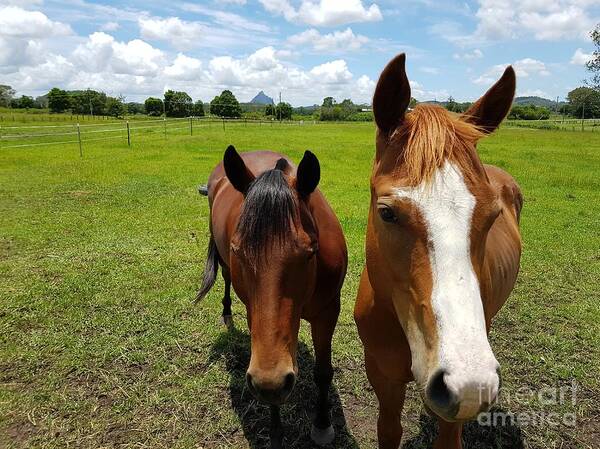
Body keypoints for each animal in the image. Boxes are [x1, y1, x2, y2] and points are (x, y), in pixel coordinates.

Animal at [197, 146, 346, 444]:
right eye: (239, 251)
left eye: (310, 252)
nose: (272, 382)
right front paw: (276, 432)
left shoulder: (328, 312)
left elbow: (323, 372)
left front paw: (322, 424)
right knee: (226, 278)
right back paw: (226, 312)